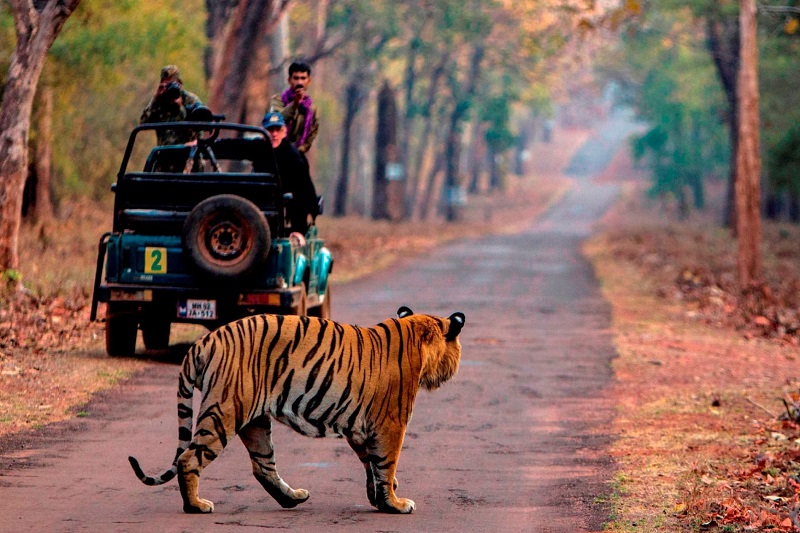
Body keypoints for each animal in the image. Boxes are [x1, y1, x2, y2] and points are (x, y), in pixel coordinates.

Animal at [129, 306, 466, 515]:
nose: (456, 366)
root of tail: (204, 341)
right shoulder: (390, 424)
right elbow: (386, 464)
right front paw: (395, 503)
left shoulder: (360, 429)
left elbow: (371, 465)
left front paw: (380, 498)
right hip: (224, 411)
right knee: (188, 458)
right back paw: (196, 505)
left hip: (255, 421)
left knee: (262, 466)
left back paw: (292, 498)